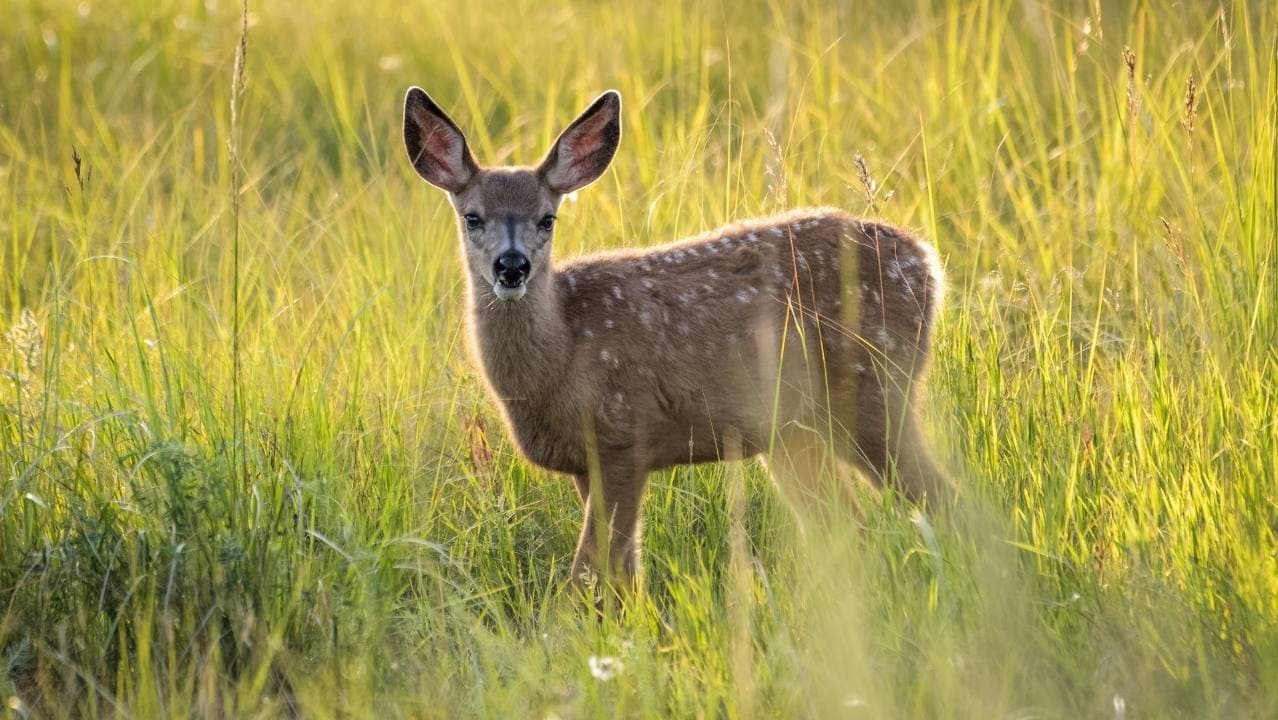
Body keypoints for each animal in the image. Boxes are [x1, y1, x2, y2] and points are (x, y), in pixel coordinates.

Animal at [402, 86, 951, 596]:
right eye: (472, 217)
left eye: (547, 218)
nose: (511, 266)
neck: (561, 356)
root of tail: (927, 262)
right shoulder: (585, 461)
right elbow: (623, 575)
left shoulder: (623, 435)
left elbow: (590, 572)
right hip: (794, 430)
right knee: (844, 524)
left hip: (874, 387)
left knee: (941, 497)